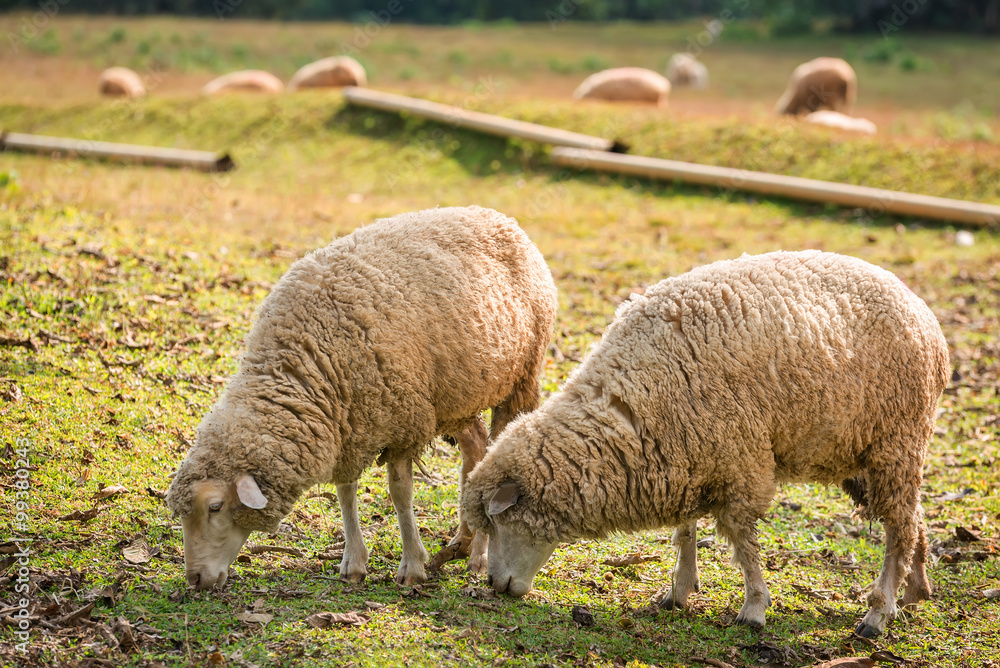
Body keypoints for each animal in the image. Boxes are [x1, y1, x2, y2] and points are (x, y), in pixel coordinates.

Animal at [166, 206, 558, 590]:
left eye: (214, 507)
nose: (195, 579)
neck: (305, 362)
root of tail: (501, 217)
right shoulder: (349, 426)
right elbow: (346, 492)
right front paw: (353, 563)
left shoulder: (405, 423)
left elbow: (400, 494)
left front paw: (412, 566)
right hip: (454, 394)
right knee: (474, 450)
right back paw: (461, 544)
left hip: (519, 380)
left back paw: (478, 556)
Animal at [463, 250, 949, 638]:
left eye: (498, 521)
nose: (494, 587)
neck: (633, 406)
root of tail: (926, 316)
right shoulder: (689, 453)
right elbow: (685, 528)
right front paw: (679, 590)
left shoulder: (741, 462)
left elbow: (743, 543)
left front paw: (754, 608)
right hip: (860, 455)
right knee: (911, 519)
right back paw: (915, 591)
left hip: (897, 441)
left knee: (899, 528)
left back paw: (877, 614)